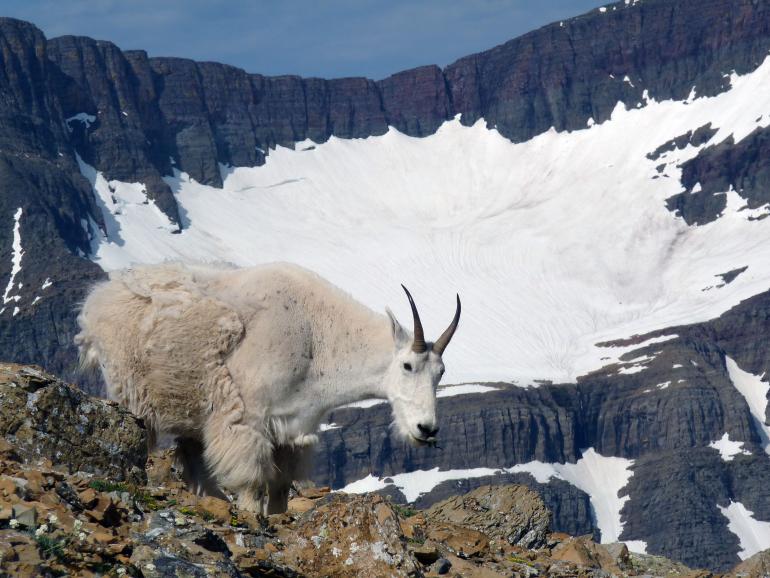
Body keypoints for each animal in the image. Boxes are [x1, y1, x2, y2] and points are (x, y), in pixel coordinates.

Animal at [75, 261, 461, 514]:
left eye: (441, 372)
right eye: (407, 366)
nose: (427, 429)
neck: (318, 335)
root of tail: (95, 302)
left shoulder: (293, 427)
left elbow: (280, 487)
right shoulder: (246, 417)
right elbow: (251, 480)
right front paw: (251, 516)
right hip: (130, 395)